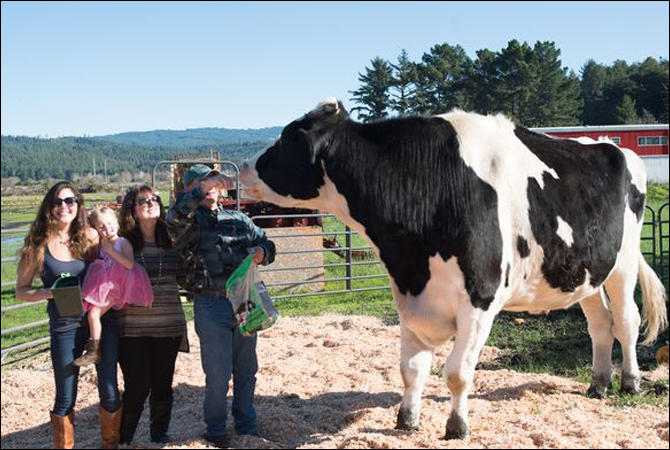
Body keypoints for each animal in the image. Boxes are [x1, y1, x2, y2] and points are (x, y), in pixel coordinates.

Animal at [239, 99, 668, 440]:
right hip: (586, 272)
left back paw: (630, 382)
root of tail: (608, 145)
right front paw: (406, 421)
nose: (241, 168)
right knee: (600, 323)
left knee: (626, 320)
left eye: (287, 139)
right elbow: (411, 369)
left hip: (623, 261)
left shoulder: (480, 300)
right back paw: (598, 384)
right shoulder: (410, 295)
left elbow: (457, 372)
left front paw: (456, 427)